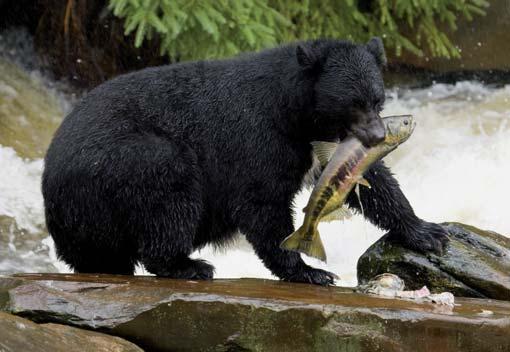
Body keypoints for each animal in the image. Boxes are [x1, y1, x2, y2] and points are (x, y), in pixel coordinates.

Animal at [42, 37, 446, 286]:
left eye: (377, 99)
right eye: (353, 103)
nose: (378, 136)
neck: (296, 113)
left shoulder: (332, 144)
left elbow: (371, 180)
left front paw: (427, 232)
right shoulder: (257, 137)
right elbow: (261, 202)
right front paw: (308, 270)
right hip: (120, 164)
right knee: (168, 187)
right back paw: (188, 265)